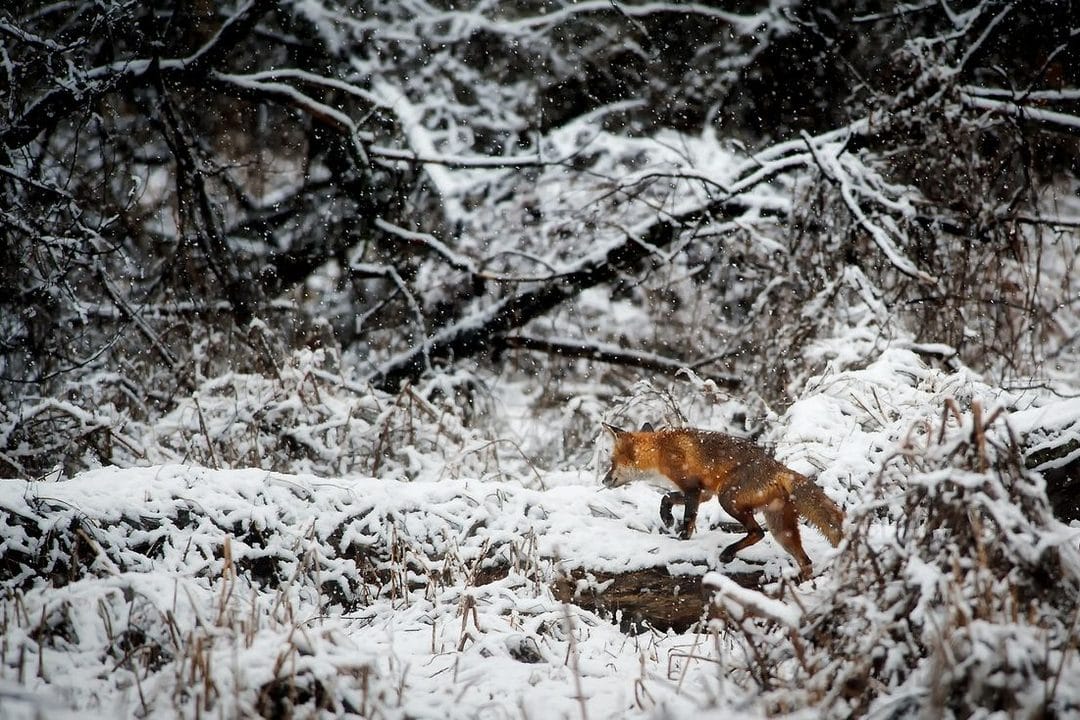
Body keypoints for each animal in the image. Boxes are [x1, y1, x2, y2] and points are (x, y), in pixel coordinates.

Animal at [602, 423, 844, 580]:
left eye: (611, 462)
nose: (604, 480)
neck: (660, 450)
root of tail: (779, 468)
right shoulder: (704, 493)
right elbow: (666, 497)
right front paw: (667, 518)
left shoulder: (692, 488)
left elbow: (688, 517)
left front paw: (682, 538)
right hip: (780, 530)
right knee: (805, 561)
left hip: (728, 499)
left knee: (758, 532)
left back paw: (728, 553)